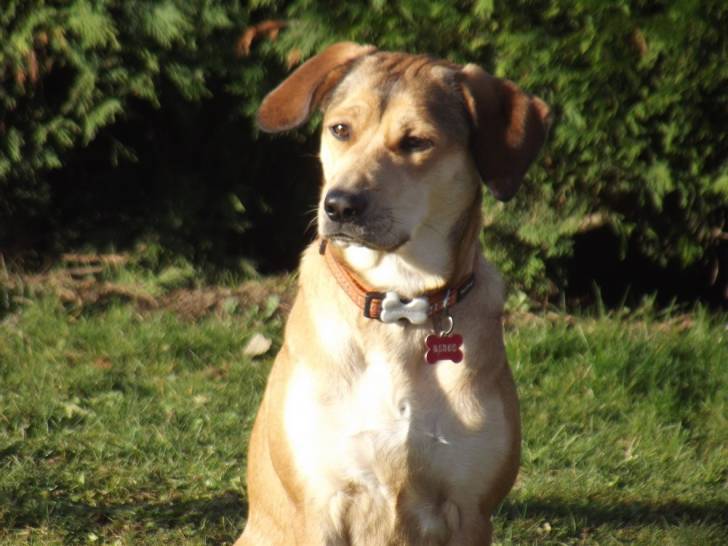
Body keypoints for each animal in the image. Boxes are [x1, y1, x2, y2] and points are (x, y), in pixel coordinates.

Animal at [235, 42, 550, 546]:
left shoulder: (471, 510)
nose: (340, 205)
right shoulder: (321, 502)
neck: (398, 304)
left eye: (416, 142)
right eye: (340, 129)